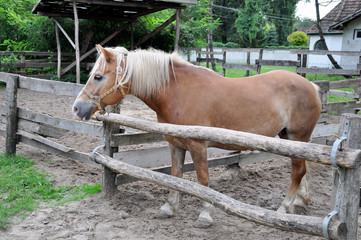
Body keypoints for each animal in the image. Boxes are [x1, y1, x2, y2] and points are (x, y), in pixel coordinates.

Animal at [72, 45, 320, 229]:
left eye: (98, 76)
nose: (76, 108)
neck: (178, 92)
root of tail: (311, 85)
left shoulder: (197, 145)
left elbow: (203, 180)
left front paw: (205, 216)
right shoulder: (175, 144)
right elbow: (175, 176)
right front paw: (169, 208)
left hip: (297, 137)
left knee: (297, 171)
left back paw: (283, 208)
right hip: (289, 139)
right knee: (301, 169)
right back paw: (300, 201)